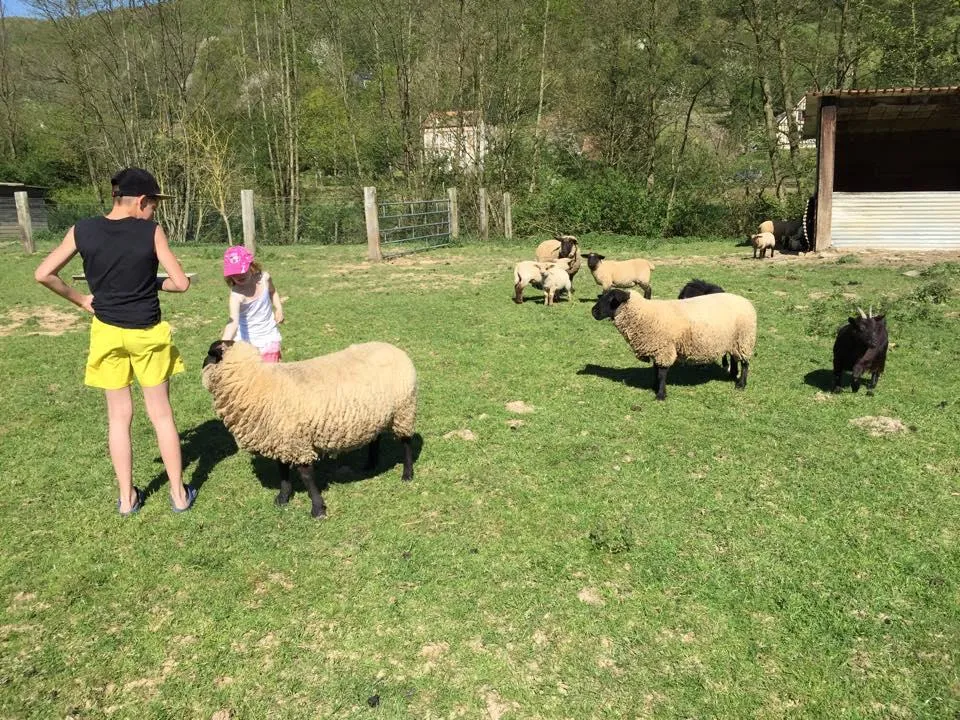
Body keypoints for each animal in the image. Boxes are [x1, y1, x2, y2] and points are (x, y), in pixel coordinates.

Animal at [202, 338, 416, 516]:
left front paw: (317, 508)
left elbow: (306, 476)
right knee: (375, 438)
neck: (256, 382)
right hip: (375, 415)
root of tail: (395, 349)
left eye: (209, 354)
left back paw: (407, 474)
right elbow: (282, 471)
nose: (201, 363)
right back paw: (370, 464)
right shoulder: (281, 439)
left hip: (404, 410)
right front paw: (283, 498)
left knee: (406, 442)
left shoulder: (297, 442)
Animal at [592, 286, 756, 400]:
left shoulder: (664, 349)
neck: (644, 314)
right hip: (734, 340)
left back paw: (741, 384)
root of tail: (746, 302)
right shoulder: (657, 348)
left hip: (745, 339)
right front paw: (654, 386)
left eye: (611, 300)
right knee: (734, 358)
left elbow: (662, 373)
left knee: (745, 363)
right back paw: (732, 375)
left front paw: (660, 394)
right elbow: (656, 370)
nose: (593, 312)